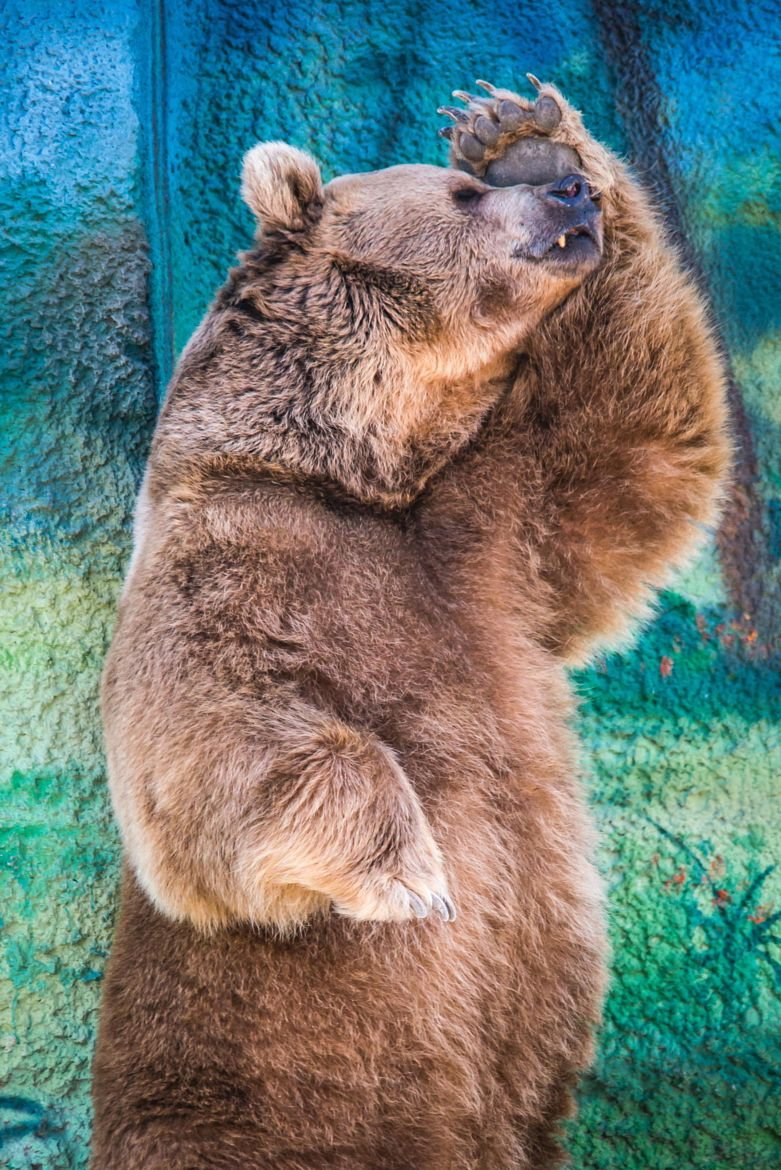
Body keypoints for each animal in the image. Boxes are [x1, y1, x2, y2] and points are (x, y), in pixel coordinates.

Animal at [91, 76, 729, 1170]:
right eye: (461, 200)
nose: (567, 195)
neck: (362, 473)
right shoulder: (230, 559)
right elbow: (213, 734)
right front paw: (415, 876)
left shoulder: (490, 533)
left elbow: (635, 435)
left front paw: (520, 124)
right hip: (240, 1095)